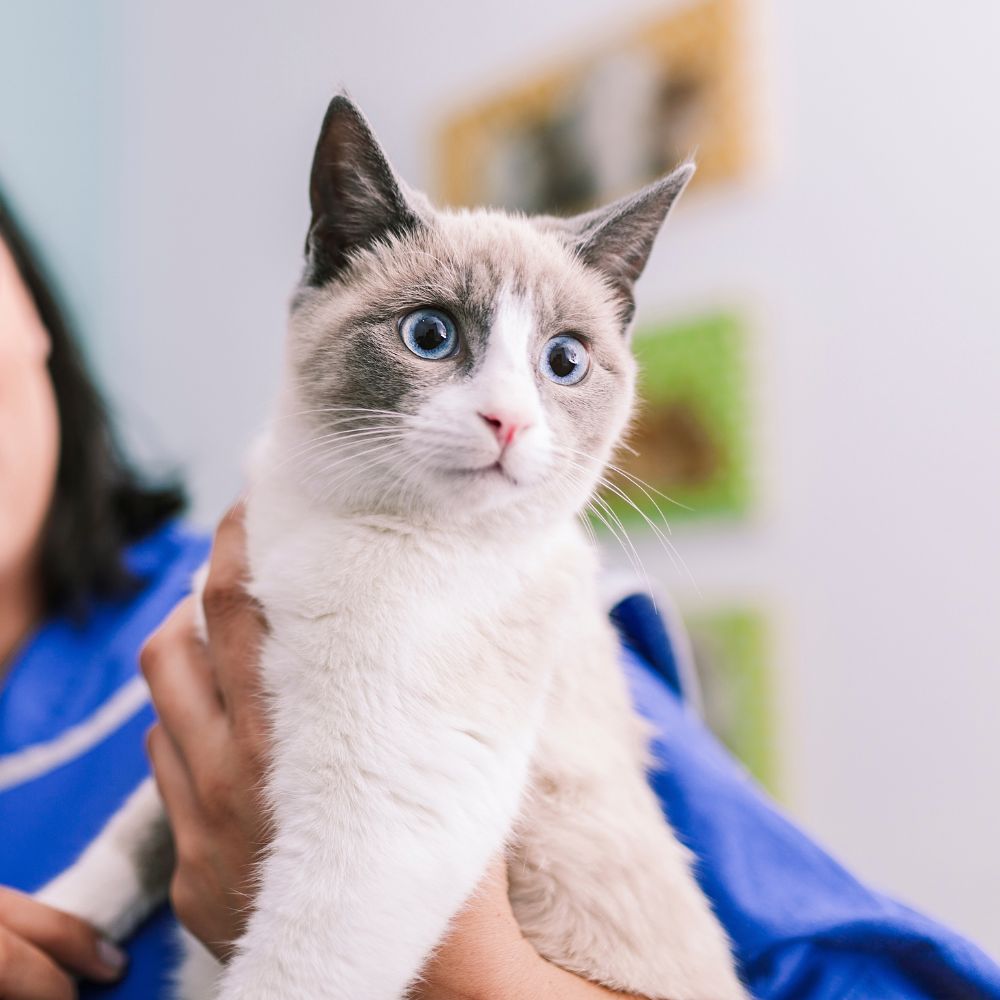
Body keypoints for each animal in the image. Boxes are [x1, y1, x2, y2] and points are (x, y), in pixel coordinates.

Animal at [39, 95, 748, 1000]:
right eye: (430, 335)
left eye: (564, 360)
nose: (508, 421)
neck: (339, 518)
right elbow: (130, 836)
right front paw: (50, 927)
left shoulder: (381, 821)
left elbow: (286, 971)